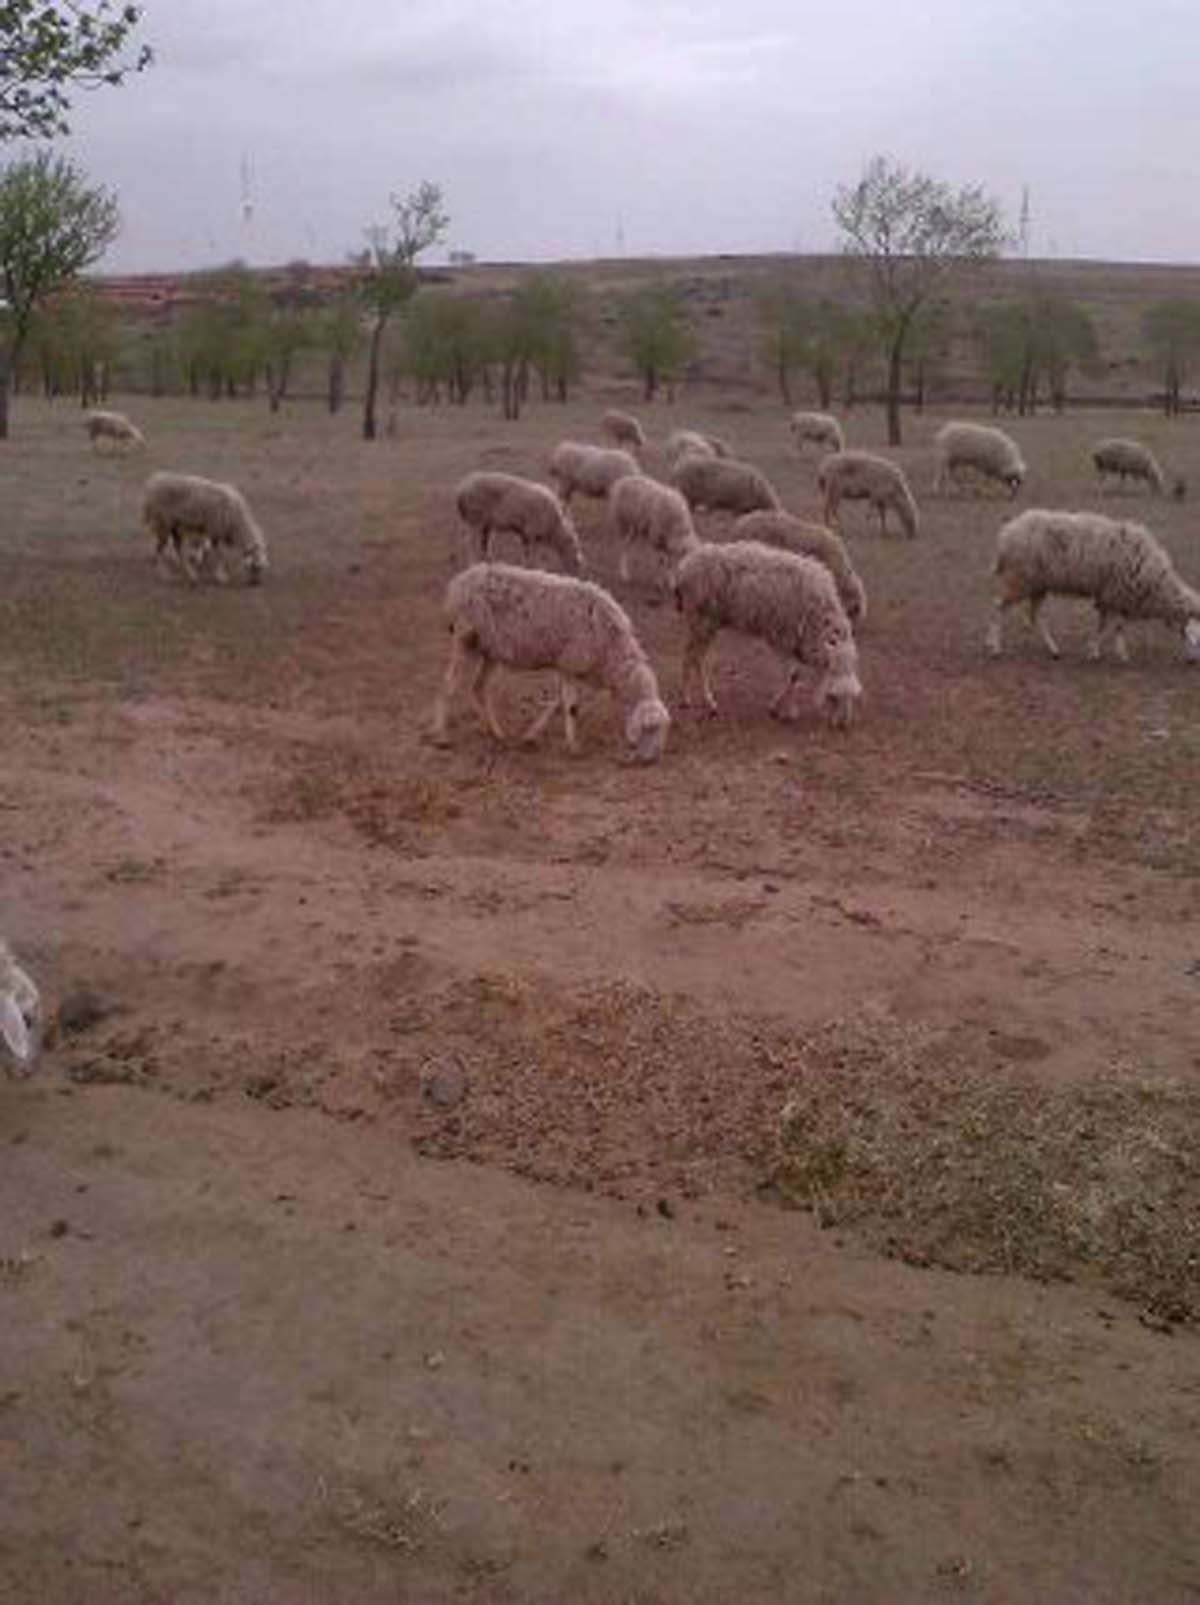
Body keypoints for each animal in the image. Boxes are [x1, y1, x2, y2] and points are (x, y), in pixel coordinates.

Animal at [430, 562, 670, 763]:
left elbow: (557, 703)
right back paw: (442, 737)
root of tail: (458, 583)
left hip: (491, 651)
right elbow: (570, 706)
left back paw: (496, 732)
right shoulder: (570, 663)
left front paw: (531, 736)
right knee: (449, 684)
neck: (613, 652)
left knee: (478, 687)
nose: (651, 761)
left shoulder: (569, 666)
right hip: (464, 639)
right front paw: (574, 747)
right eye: (649, 729)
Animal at [454, 471, 583, 575]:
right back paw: (473, 563)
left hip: (486, 524)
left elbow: (527, 554)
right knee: (469, 542)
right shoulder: (531, 532)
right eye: (576, 560)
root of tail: (461, 489)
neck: (554, 527)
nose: (576, 575)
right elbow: (531, 554)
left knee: (484, 543)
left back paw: (489, 561)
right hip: (475, 519)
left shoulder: (526, 534)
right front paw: (533, 568)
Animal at [672, 540, 862, 729]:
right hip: (701, 619)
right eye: (833, 697)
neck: (818, 622)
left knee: (694, 656)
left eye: (852, 697)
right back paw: (704, 702)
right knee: (694, 658)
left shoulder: (793, 641)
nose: (843, 725)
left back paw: (691, 699)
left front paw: (784, 709)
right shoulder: (782, 637)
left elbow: (795, 676)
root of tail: (683, 567)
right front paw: (783, 710)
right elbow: (792, 675)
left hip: (708, 622)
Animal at [987, 508, 1200, 663]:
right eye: (1196, 639)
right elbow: (1115, 626)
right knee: (998, 606)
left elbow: (1107, 625)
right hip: (1019, 578)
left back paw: (1054, 650)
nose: (1193, 662)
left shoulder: (1110, 596)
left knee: (1034, 615)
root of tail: (1005, 535)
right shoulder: (1114, 594)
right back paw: (995, 647)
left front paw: (1096, 650)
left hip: (1037, 584)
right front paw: (1117, 654)